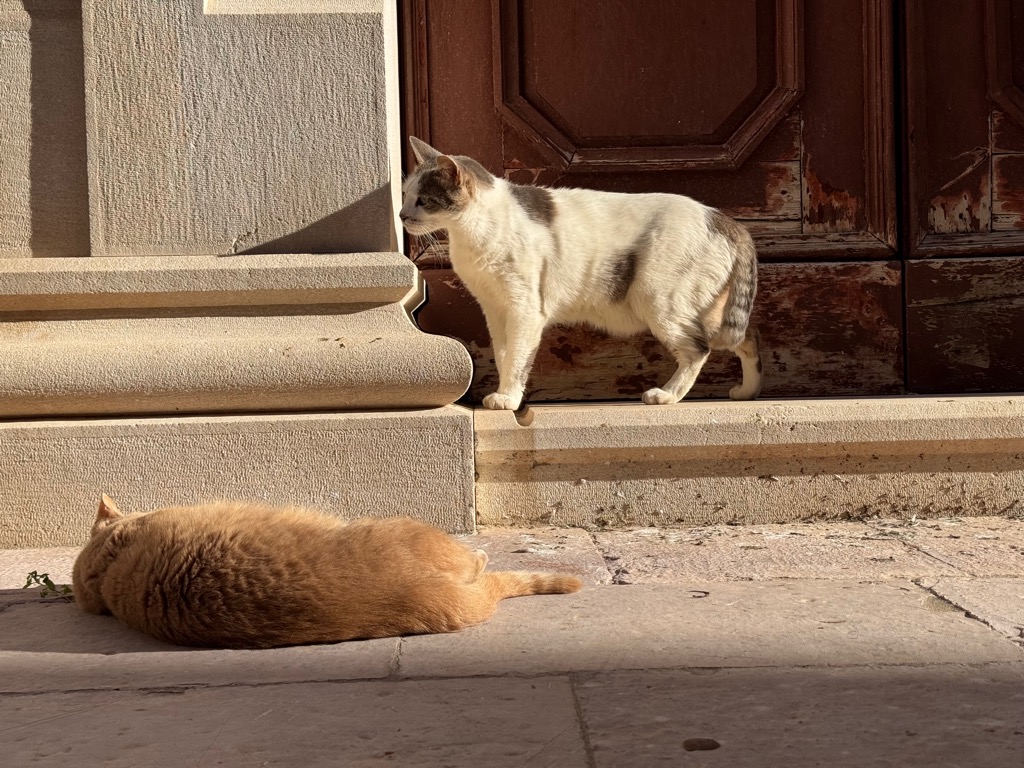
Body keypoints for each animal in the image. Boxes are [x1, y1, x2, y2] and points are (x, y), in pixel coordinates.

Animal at [401, 136, 762, 410]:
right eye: (405, 195)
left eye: (423, 200)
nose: (402, 215)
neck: (472, 233)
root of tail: (726, 220)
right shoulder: (494, 308)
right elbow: (503, 354)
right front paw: (506, 393)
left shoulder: (524, 309)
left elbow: (517, 357)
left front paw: (507, 398)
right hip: (709, 310)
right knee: (747, 338)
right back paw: (748, 392)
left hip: (660, 300)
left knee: (699, 350)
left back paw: (666, 395)